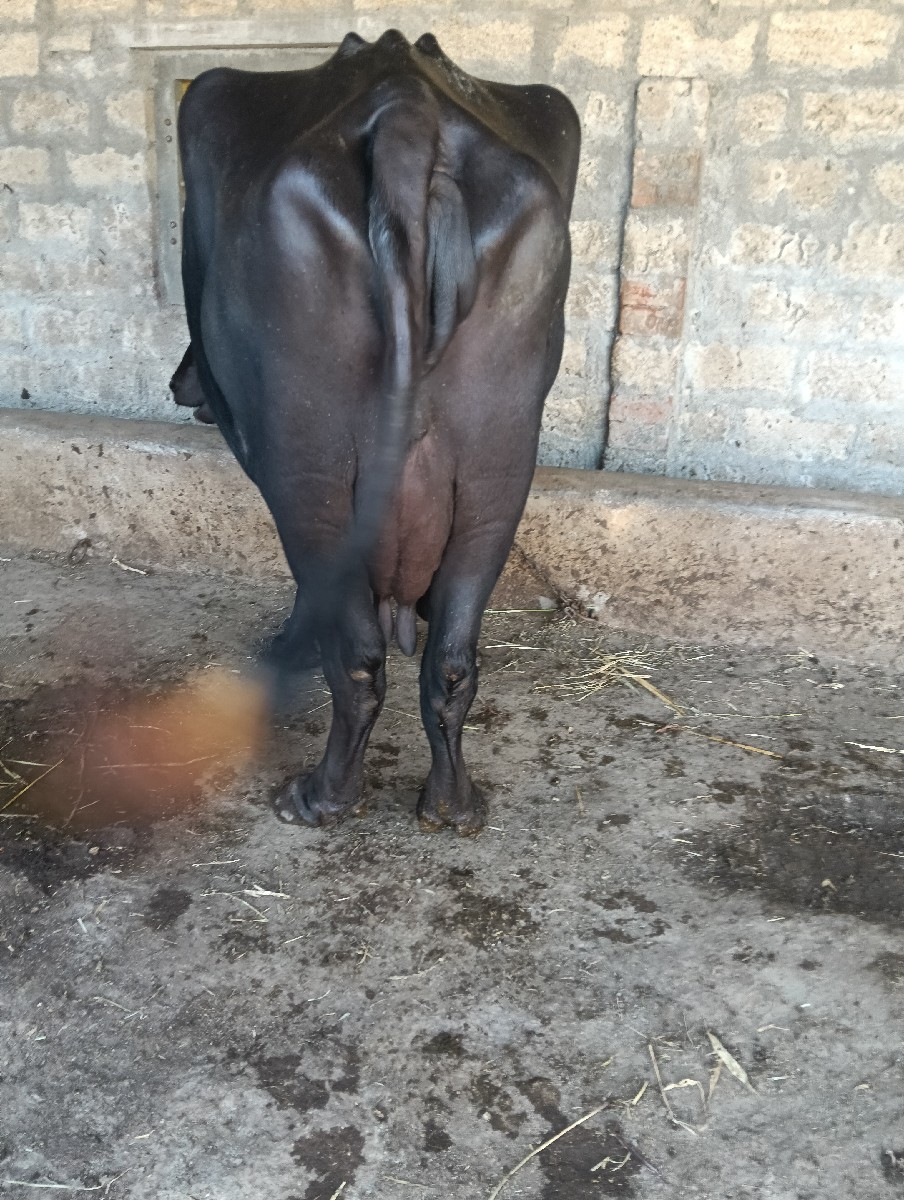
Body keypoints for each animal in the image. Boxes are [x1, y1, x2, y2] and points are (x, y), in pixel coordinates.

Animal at [171, 29, 580, 833]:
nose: (179, 385)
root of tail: (404, 108)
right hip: (497, 469)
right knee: (452, 660)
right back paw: (452, 806)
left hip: (311, 469)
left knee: (357, 657)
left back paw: (320, 797)